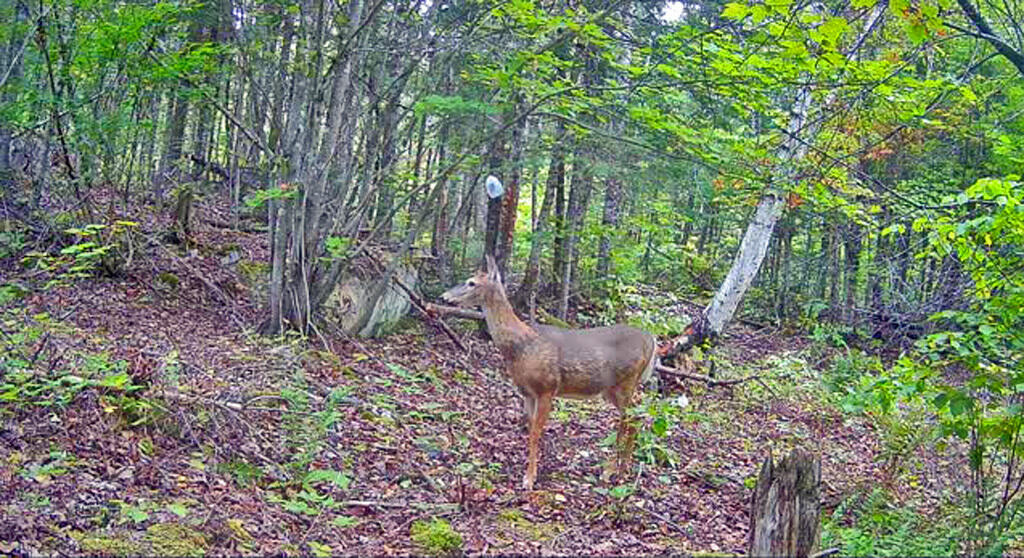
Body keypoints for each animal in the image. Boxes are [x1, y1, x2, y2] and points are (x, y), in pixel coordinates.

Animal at [441, 255, 658, 490]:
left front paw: (529, 479)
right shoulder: (527, 393)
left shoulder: (547, 388)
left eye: (471, 282)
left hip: (625, 382)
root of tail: (651, 339)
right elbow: (530, 429)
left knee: (629, 419)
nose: (444, 297)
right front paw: (532, 471)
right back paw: (623, 469)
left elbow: (536, 433)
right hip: (613, 389)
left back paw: (610, 471)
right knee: (636, 417)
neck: (521, 346)